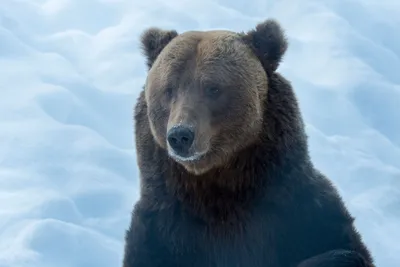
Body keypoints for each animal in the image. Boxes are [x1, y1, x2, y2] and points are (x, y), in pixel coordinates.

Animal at [122, 18, 376, 267]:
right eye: (169, 89)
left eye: (213, 88)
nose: (180, 136)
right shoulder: (162, 226)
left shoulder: (299, 209)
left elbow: (344, 248)